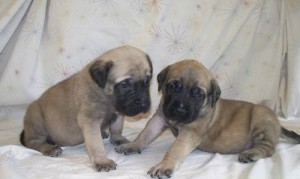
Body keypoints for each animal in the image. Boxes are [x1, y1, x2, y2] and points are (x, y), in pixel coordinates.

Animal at [19, 45, 154, 171]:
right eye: (124, 85)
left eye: (147, 81)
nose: (144, 104)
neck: (105, 95)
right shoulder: (90, 120)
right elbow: (96, 144)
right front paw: (102, 161)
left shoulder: (118, 113)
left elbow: (116, 129)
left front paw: (117, 139)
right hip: (36, 118)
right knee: (34, 142)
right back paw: (49, 148)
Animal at [115, 59, 300, 178]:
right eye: (173, 86)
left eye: (198, 94)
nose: (180, 109)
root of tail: (277, 123)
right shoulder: (160, 118)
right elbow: (145, 134)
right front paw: (132, 145)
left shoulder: (189, 133)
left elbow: (174, 150)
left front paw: (164, 166)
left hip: (260, 117)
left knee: (268, 148)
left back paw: (251, 153)